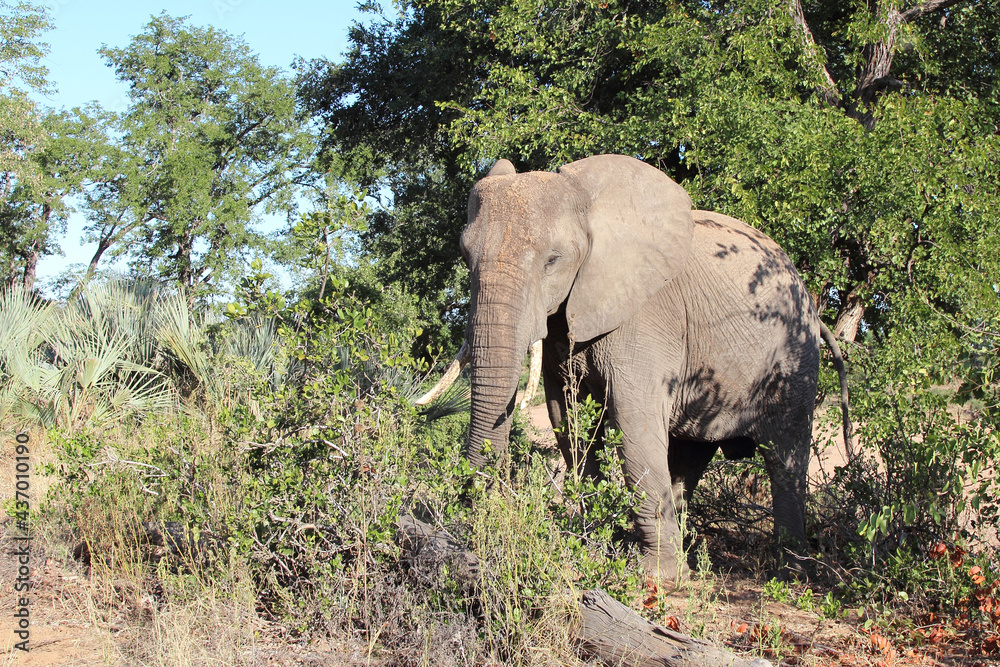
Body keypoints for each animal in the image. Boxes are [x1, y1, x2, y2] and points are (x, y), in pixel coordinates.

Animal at [454, 154, 852, 580]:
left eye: (552, 261)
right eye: (465, 256)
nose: (477, 517)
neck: (587, 200)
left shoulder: (646, 317)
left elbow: (635, 422)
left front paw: (655, 575)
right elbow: (570, 420)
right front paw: (599, 548)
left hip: (796, 357)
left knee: (784, 457)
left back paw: (790, 571)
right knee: (690, 455)